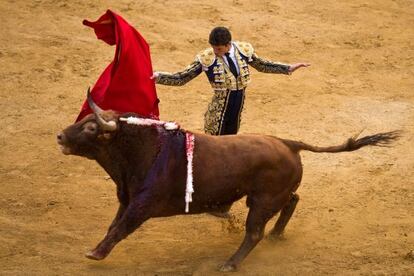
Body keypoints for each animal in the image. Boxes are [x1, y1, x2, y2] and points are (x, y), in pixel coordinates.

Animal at [56, 91, 400, 272]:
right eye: (83, 120)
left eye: (91, 128)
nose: (60, 136)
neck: (143, 150)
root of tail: (288, 143)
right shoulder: (127, 199)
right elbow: (113, 225)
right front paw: (96, 249)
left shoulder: (141, 206)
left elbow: (120, 228)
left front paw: (95, 254)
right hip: (269, 195)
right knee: (293, 201)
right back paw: (277, 235)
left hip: (261, 201)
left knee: (254, 232)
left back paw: (231, 264)